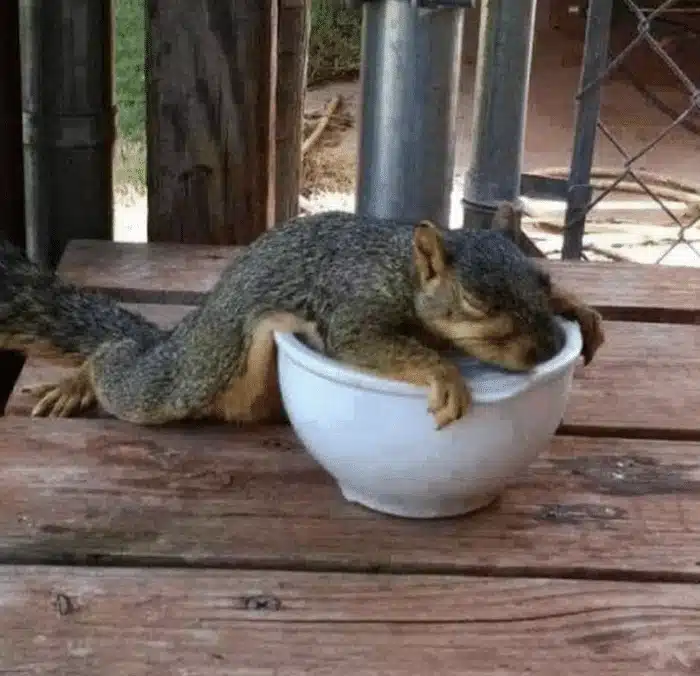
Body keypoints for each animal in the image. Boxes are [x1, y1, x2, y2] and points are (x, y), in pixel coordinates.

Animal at [0, 207, 604, 429]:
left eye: (541, 279)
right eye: (478, 304)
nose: (546, 349)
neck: (400, 272)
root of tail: (177, 335)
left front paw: (579, 308)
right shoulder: (353, 306)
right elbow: (374, 344)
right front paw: (446, 375)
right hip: (186, 377)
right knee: (120, 366)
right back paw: (81, 381)